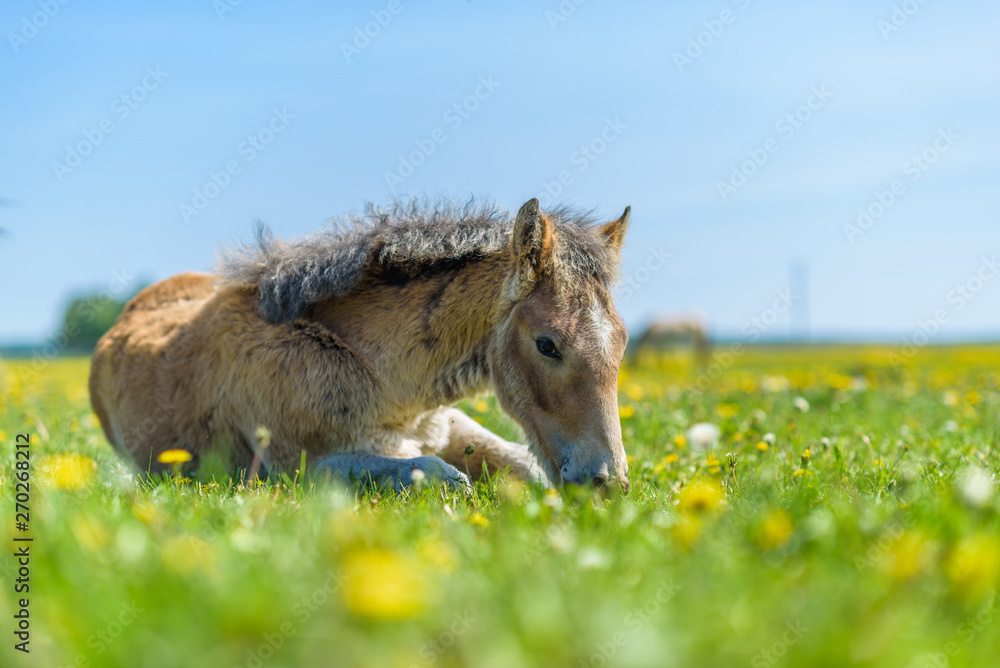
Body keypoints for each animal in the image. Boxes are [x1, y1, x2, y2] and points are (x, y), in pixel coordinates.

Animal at [89, 197, 632, 492]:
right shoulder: (294, 471)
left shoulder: (448, 425)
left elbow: (524, 467)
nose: (607, 484)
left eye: (624, 341)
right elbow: (440, 476)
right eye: (547, 344)